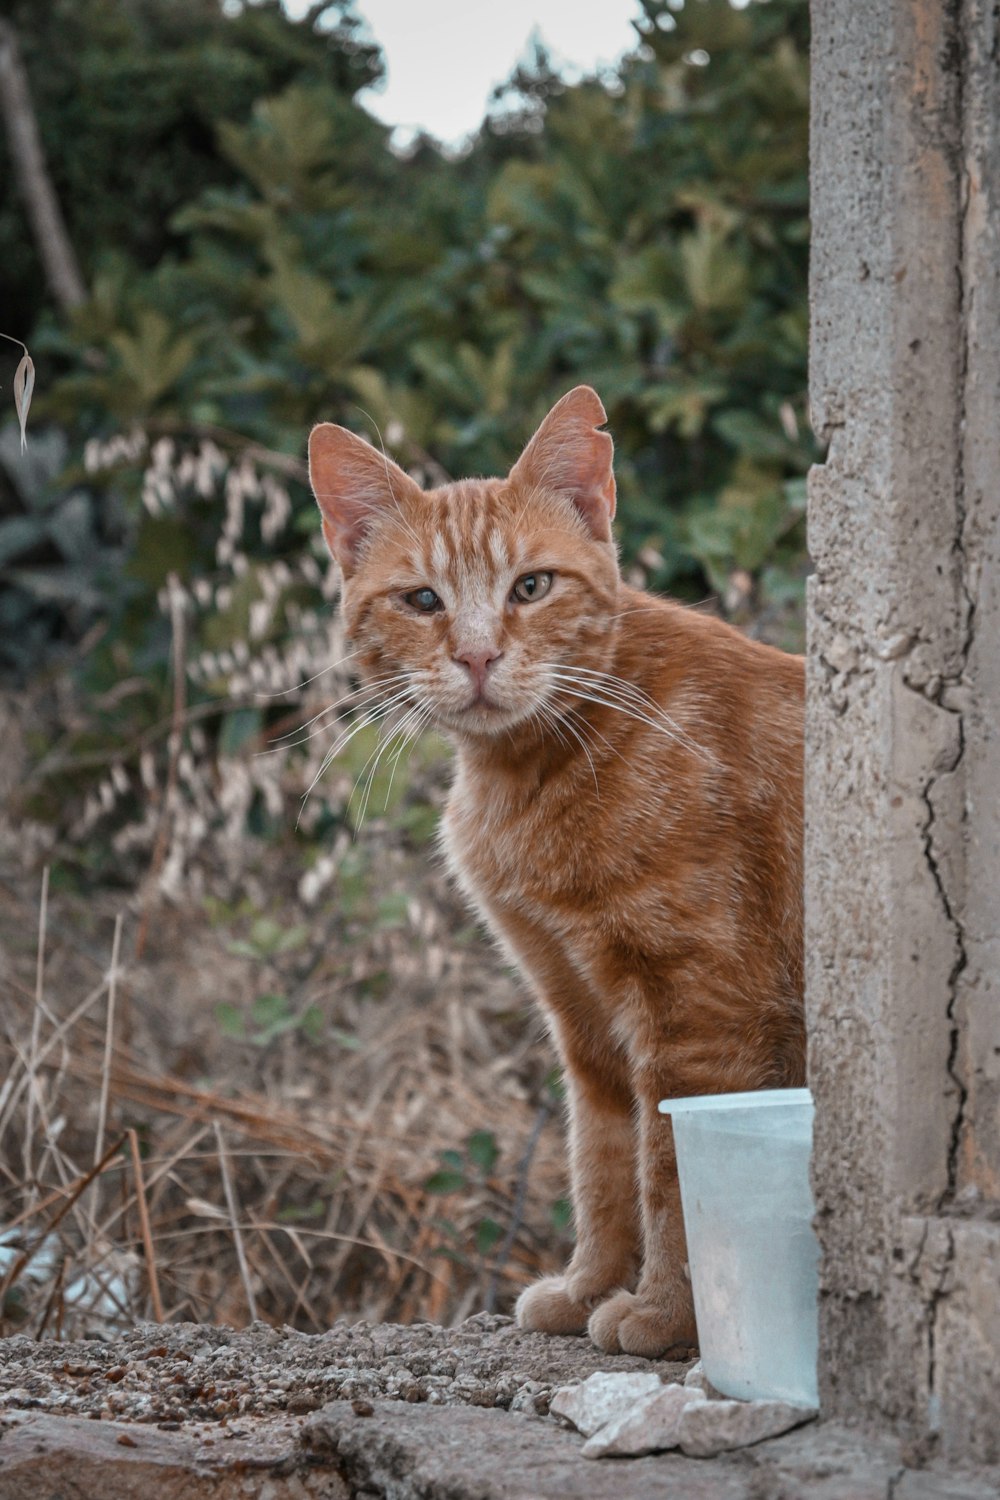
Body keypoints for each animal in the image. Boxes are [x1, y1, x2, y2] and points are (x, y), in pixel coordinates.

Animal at [308, 387, 809, 1362]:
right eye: (421, 600)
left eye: (531, 588)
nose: (476, 656)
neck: (530, 773)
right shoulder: (582, 1018)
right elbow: (603, 1166)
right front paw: (588, 1290)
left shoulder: (699, 1019)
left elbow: (673, 1177)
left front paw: (668, 1314)